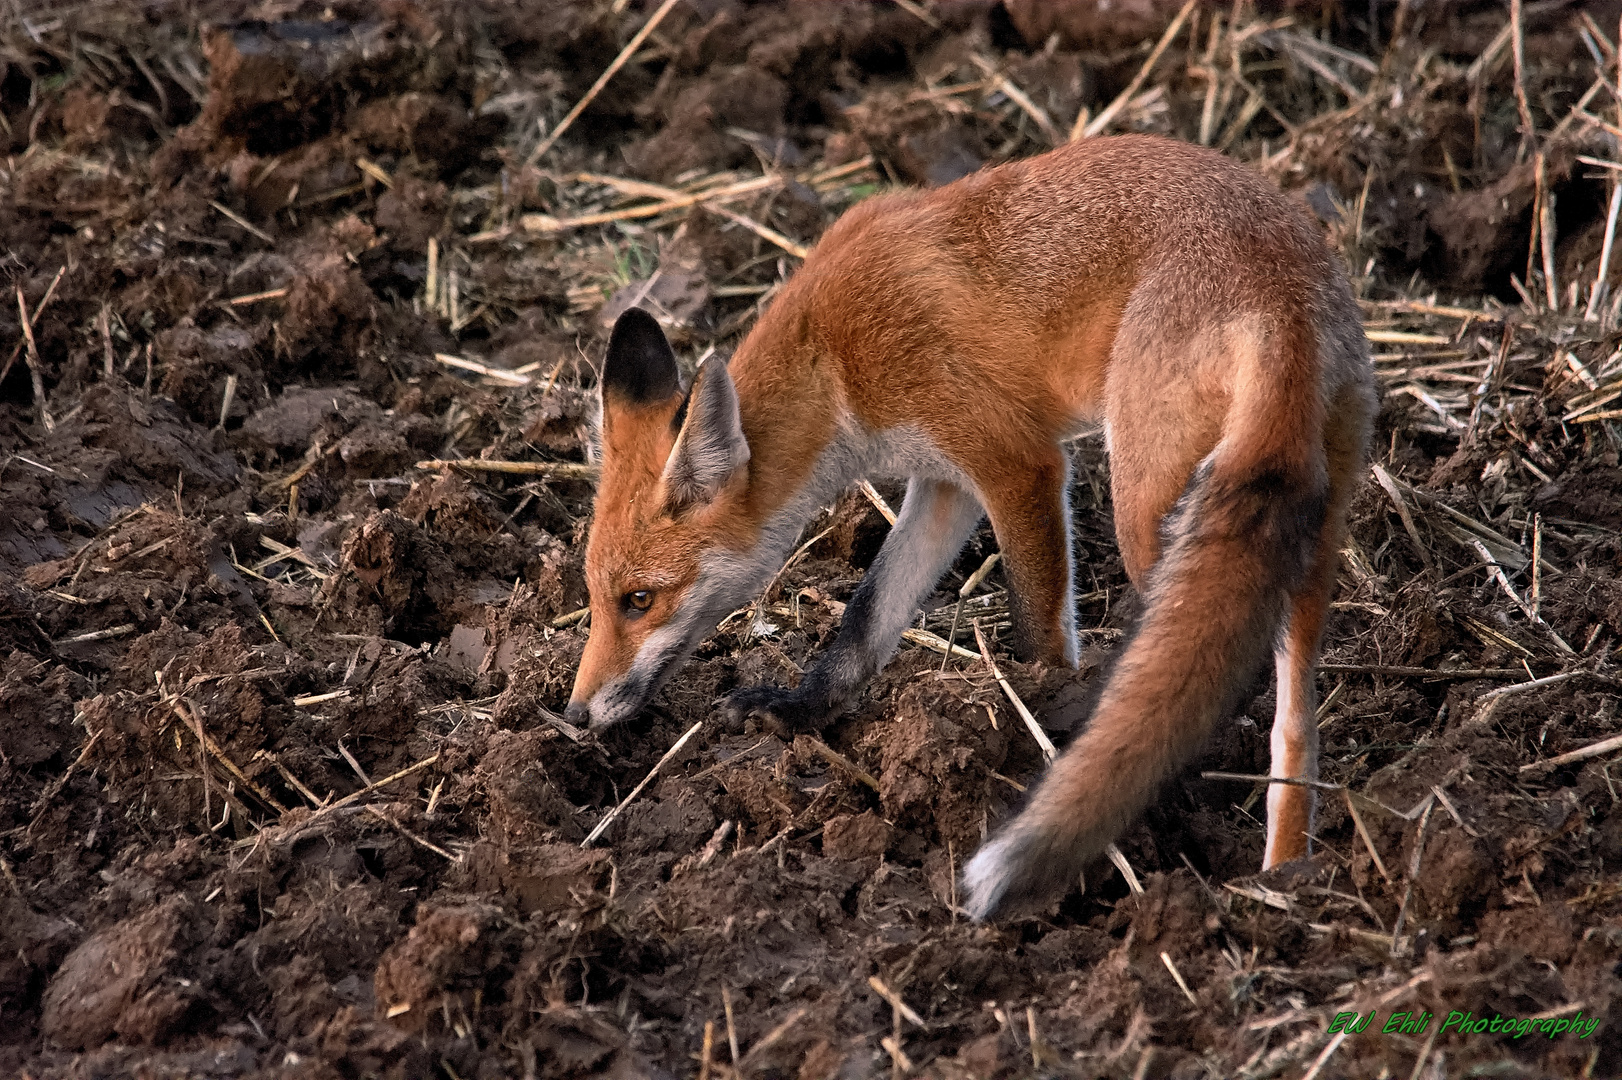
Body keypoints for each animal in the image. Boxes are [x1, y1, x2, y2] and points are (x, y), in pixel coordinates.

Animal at [564, 130, 1375, 914]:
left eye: (640, 600)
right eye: (594, 597)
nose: (573, 714)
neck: (833, 361)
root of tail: (1280, 291)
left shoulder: (1016, 461)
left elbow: (1038, 628)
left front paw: (1038, 710)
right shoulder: (946, 481)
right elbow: (869, 613)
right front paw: (800, 709)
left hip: (1147, 503)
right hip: (1309, 517)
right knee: (1294, 721)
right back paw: (1286, 878)